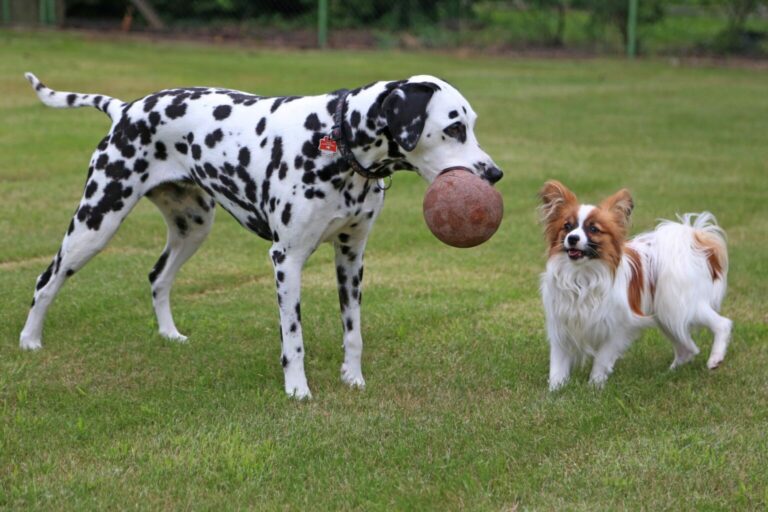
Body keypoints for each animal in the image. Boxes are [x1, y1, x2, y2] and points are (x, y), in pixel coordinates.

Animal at [19, 72, 504, 400]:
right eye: (454, 127)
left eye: (471, 124)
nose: (495, 174)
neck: (334, 138)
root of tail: (125, 110)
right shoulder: (286, 260)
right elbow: (294, 338)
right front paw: (298, 390)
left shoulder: (351, 256)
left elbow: (353, 332)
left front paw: (353, 378)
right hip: (96, 222)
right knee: (47, 281)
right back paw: (30, 342)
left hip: (193, 227)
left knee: (158, 277)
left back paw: (169, 335)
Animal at [536, 182, 728, 390]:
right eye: (567, 226)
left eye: (593, 229)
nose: (572, 238)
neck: (582, 275)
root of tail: (696, 244)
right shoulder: (561, 326)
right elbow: (558, 365)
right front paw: (555, 390)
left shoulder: (619, 328)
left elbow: (601, 360)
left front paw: (595, 386)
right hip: (667, 316)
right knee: (689, 348)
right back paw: (667, 374)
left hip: (682, 307)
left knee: (723, 324)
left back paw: (715, 359)